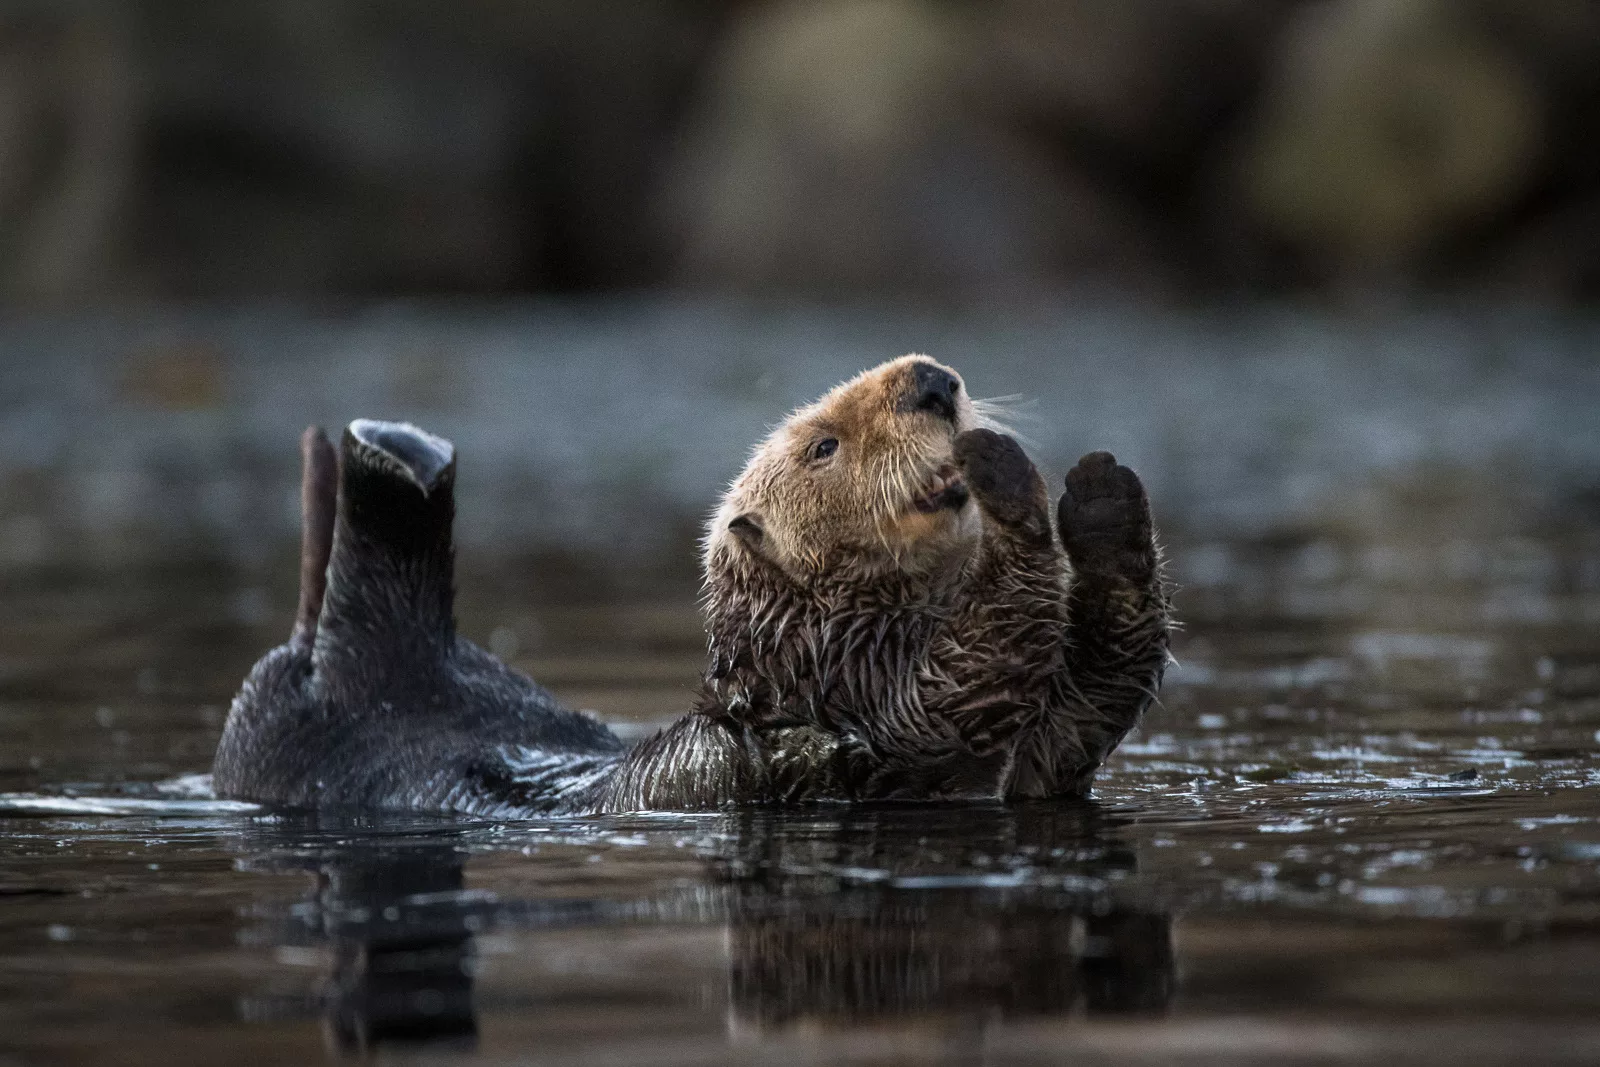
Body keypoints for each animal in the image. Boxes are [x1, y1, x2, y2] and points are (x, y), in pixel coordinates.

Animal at [212, 358, 1171, 819]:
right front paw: (1010, 474)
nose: (935, 382)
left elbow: (1093, 695)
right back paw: (396, 452)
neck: (825, 645)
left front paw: (1105, 496)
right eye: (823, 445)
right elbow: (971, 673)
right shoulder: (870, 710)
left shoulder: (1033, 765)